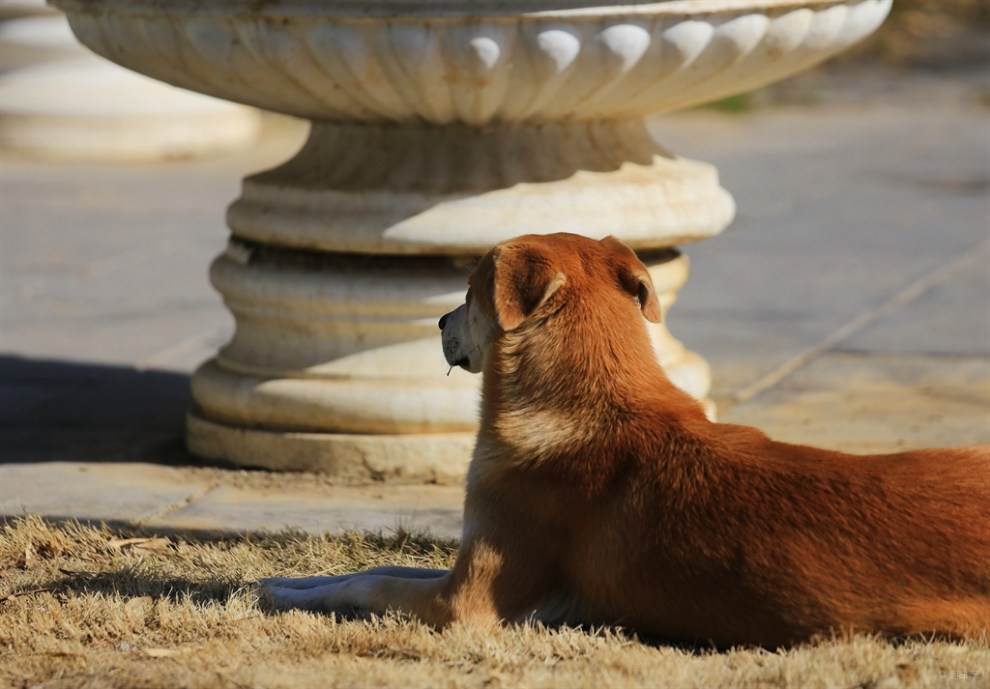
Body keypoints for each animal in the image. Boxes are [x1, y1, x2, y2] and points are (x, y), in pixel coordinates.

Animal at [262, 234, 990, 648]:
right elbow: (372, 568)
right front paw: (293, 580)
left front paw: (294, 595)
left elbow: (377, 584)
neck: (594, 398)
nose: (440, 320)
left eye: (468, 291)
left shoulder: (465, 602)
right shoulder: (464, 563)